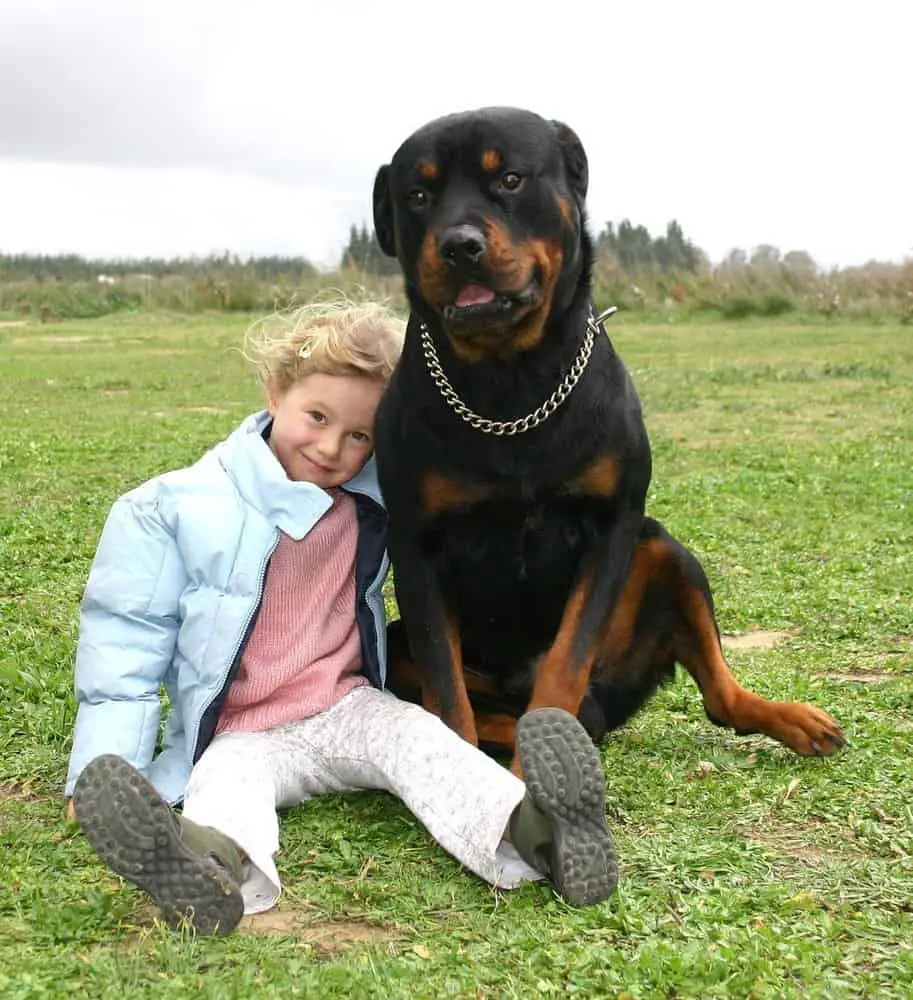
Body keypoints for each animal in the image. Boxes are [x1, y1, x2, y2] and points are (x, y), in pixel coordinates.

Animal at [368, 105, 840, 768]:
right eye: (417, 195)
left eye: (510, 179)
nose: (459, 245)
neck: (510, 384)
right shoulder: (418, 545)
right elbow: (447, 690)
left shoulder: (613, 523)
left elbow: (566, 663)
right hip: (398, 645)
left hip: (666, 550)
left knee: (715, 698)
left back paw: (790, 719)